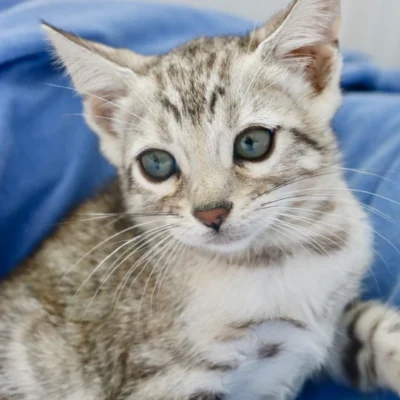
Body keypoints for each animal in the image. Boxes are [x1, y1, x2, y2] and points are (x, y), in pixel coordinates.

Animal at [0, 0, 400, 400]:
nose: (212, 213)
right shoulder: (168, 379)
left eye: (252, 142)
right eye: (157, 163)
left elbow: (374, 328)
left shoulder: (330, 321)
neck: (283, 254)